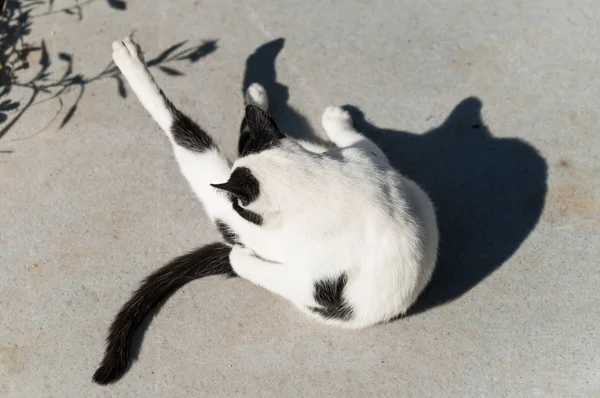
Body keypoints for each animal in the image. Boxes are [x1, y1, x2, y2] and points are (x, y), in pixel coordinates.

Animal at [94, 38, 440, 386]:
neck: (320, 180)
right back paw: (261, 100)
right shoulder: (368, 159)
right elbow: (366, 143)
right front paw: (333, 120)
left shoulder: (306, 273)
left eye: (238, 204)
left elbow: (182, 132)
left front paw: (130, 62)